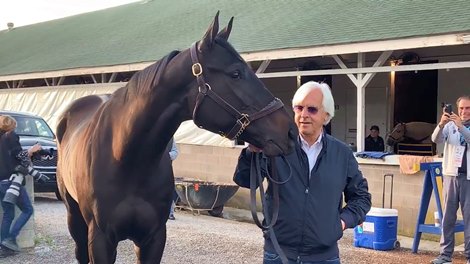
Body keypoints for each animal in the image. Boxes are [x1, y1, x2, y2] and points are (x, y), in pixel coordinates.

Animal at [55, 13, 294, 262]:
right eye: (235, 73)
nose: (289, 131)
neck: (126, 159)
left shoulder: (154, 239)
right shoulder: (101, 240)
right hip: (75, 219)